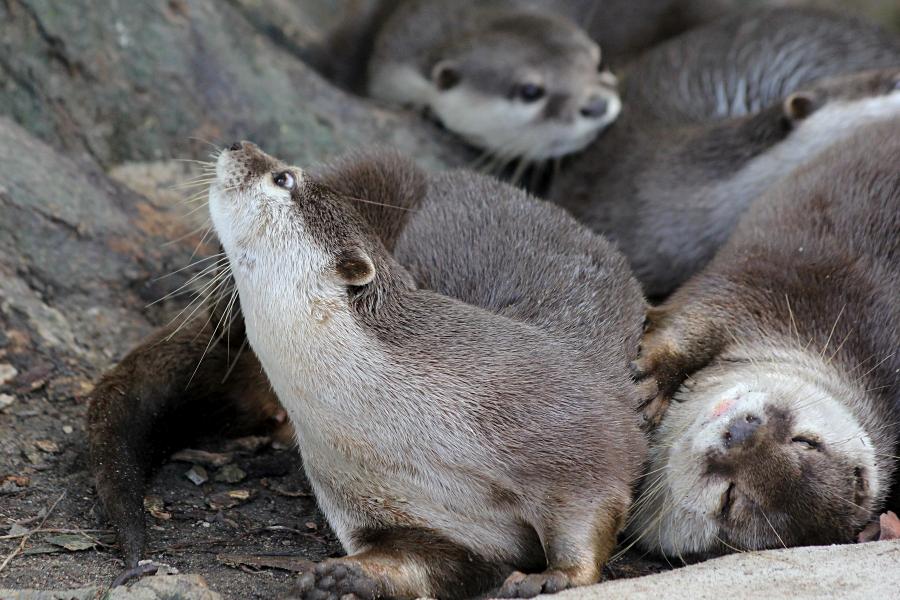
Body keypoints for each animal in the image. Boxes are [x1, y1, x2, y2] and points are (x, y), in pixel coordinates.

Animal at [89, 146, 648, 596]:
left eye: (283, 178)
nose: (238, 144)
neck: (396, 421)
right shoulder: (392, 507)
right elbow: (427, 558)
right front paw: (346, 576)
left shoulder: (567, 427)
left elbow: (592, 503)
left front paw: (555, 577)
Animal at [624, 120, 900, 556]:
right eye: (806, 442)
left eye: (731, 498)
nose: (742, 432)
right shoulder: (777, 290)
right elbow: (695, 320)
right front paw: (650, 381)